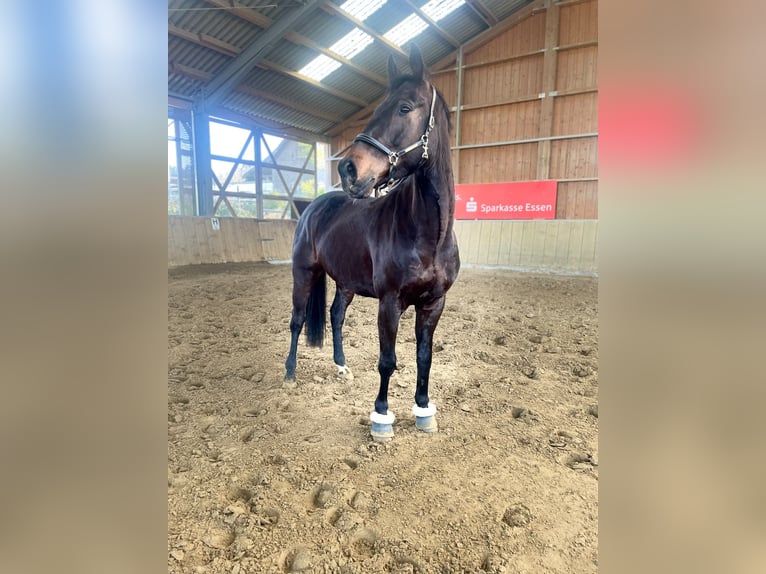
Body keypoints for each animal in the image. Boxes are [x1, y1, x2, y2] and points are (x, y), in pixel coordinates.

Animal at [284, 44, 460, 442]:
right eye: (378, 108)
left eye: (405, 107)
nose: (348, 169)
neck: (428, 234)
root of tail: (312, 206)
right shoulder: (390, 302)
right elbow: (388, 360)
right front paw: (381, 417)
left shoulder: (434, 303)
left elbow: (424, 357)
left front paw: (423, 410)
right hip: (303, 273)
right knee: (297, 321)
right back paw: (289, 374)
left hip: (346, 282)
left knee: (335, 316)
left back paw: (342, 368)